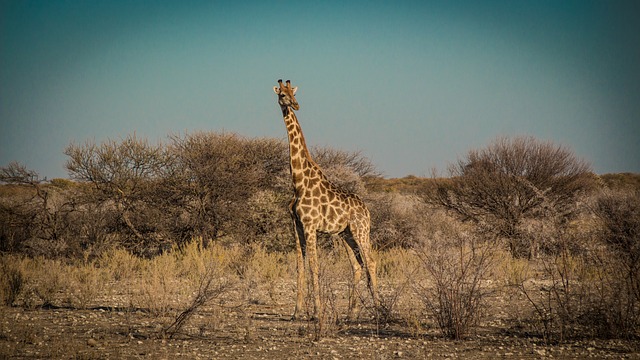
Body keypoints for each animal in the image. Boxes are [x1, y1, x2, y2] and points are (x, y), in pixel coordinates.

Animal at [272, 80, 378, 320]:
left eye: (294, 93)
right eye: (282, 94)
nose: (296, 105)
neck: (298, 181)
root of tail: (367, 210)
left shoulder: (311, 226)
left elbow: (314, 266)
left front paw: (317, 312)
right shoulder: (297, 226)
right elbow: (300, 267)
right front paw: (298, 312)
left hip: (360, 230)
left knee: (371, 261)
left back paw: (380, 309)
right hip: (346, 234)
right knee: (357, 266)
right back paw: (351, 313)